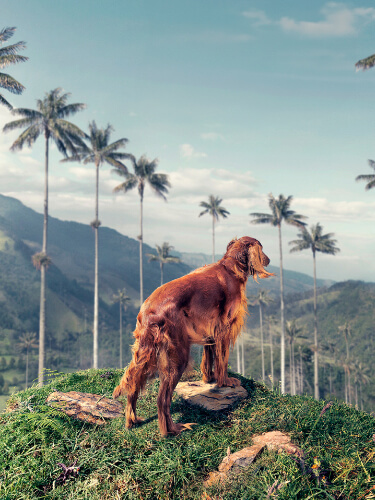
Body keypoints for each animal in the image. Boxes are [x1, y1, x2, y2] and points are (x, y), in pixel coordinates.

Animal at [113, 236, 274, 436]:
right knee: (162, 399)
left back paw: (132, 420)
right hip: (177, 357)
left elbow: (209, 357)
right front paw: (225, 381)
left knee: (133, 385)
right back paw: (172, 430)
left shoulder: (210, 329)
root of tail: (148, 312)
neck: (230, 267)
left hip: (144, 352)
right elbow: (222, 360)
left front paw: (209, 378)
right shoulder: (224, 328)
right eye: (262, 249)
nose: (268, 260)